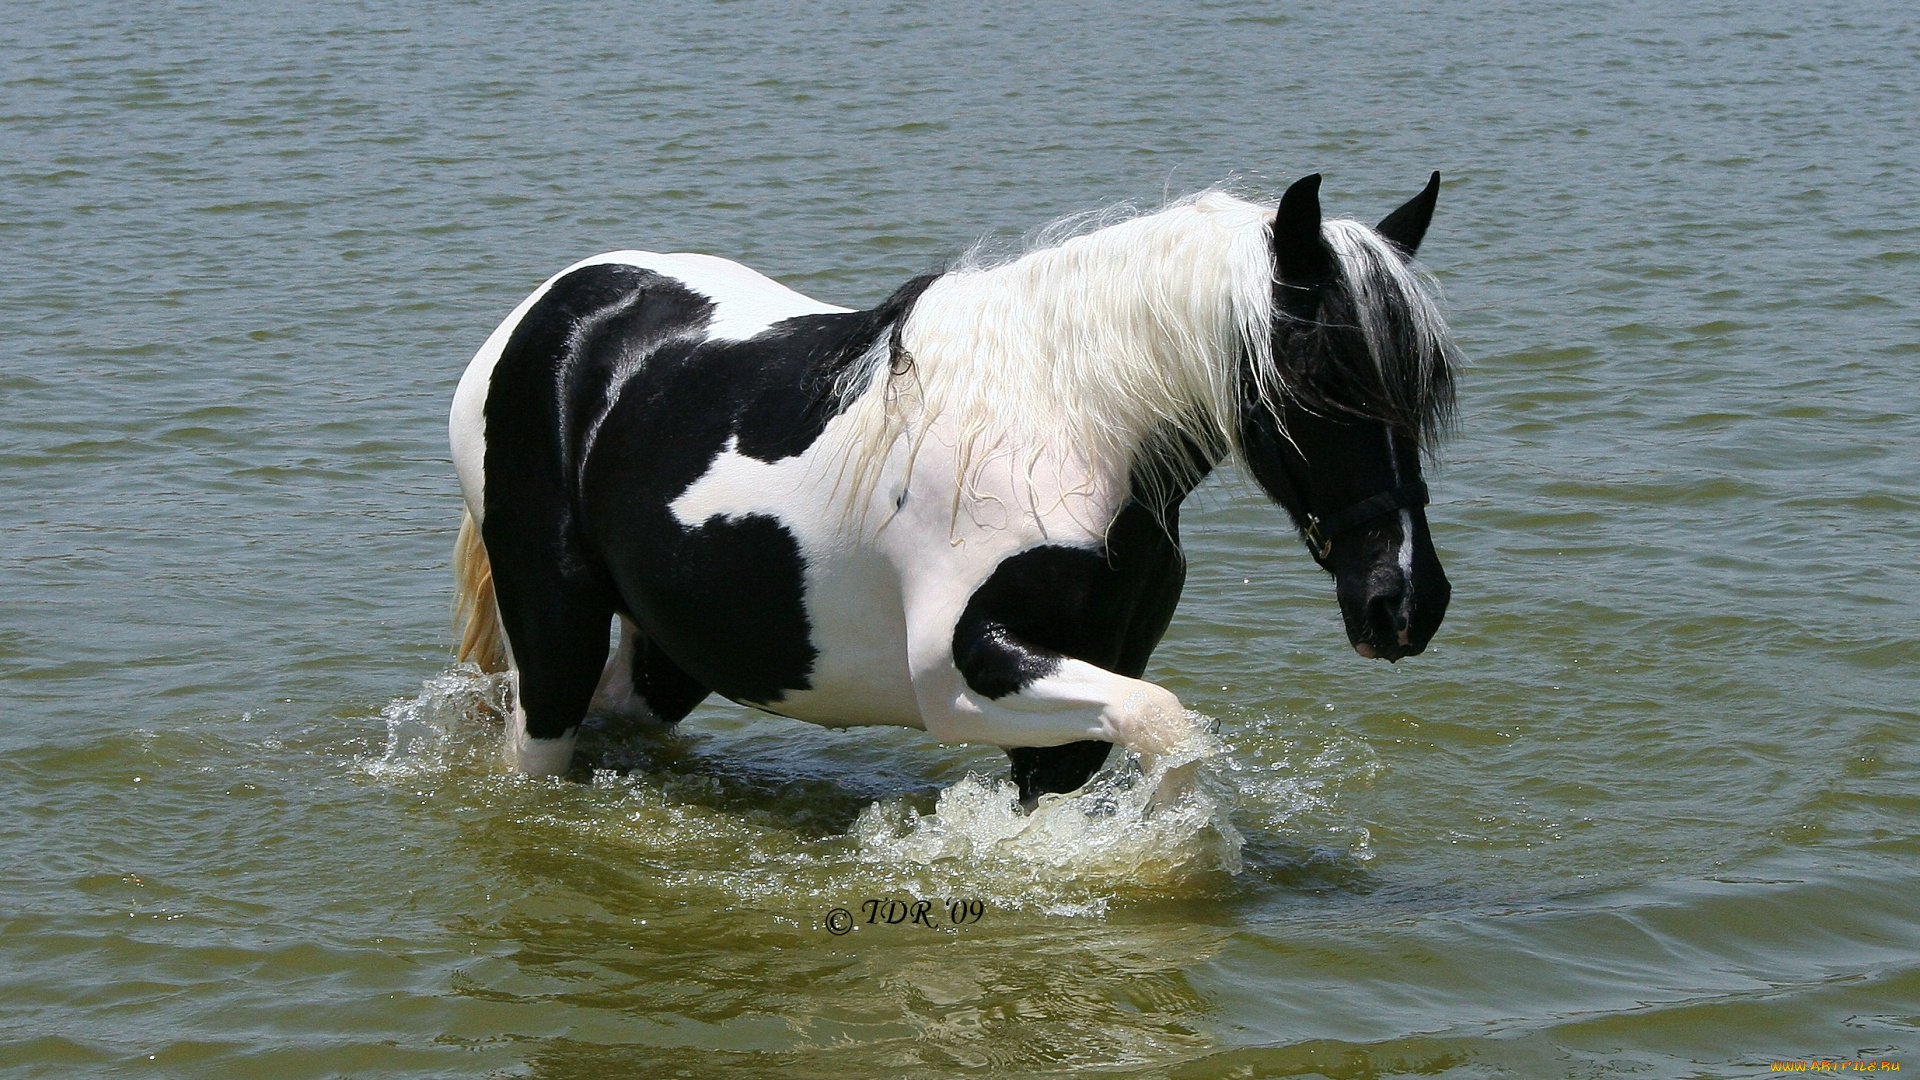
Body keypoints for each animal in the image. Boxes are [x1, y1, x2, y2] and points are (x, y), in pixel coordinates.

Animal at [449, 173, 1460, 808]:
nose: (1405, 603)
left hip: (678, 644)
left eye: (1424, 390)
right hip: (555, 635)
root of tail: (551, 311)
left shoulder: (1078, 688)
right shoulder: (964, 674)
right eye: (1319, 377)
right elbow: (1168, 727)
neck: (1063, 425)